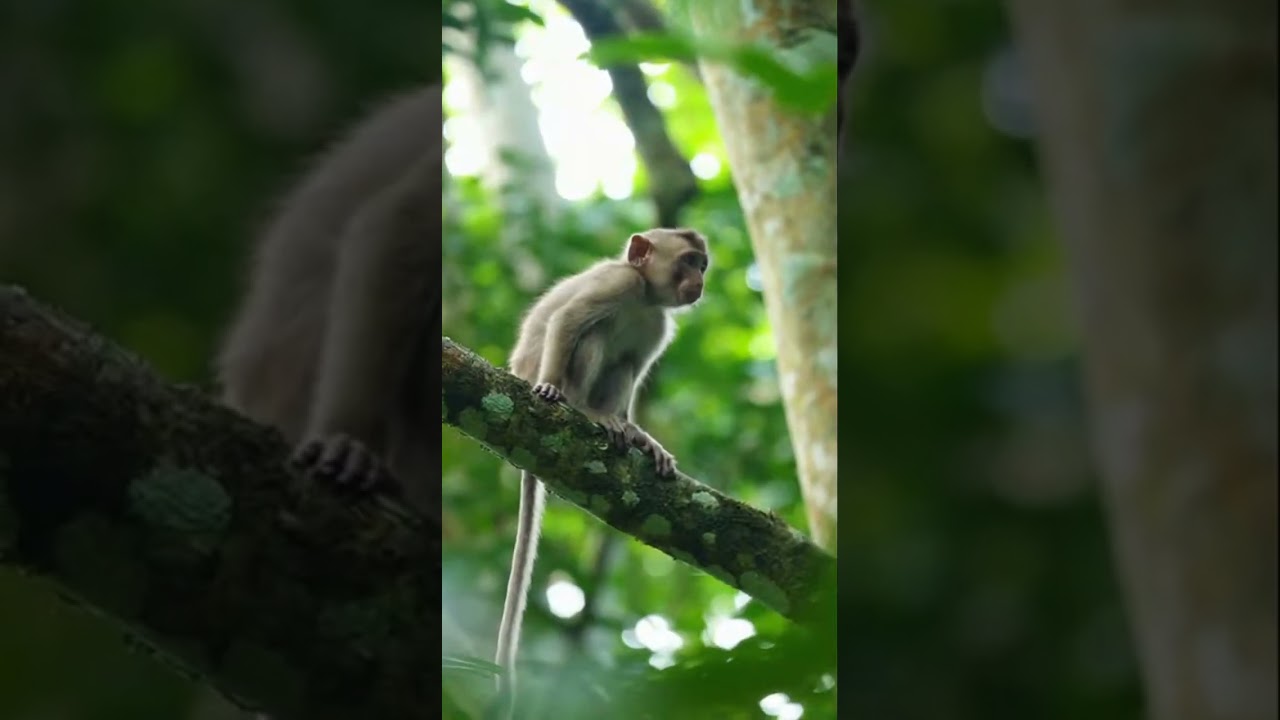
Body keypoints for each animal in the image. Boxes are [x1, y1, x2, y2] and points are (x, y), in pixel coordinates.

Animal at [490, 227, 710, 718]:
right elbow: (568, 321)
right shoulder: (616, 284)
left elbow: (636, 367)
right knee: (593, 335)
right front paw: (550, 388)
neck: (645, 295)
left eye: (702, 265)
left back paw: (619, 426)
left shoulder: (658, 323)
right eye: (688, 261)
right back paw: (583, 408)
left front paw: (641, 435)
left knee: (623, 362)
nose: (700, 281)